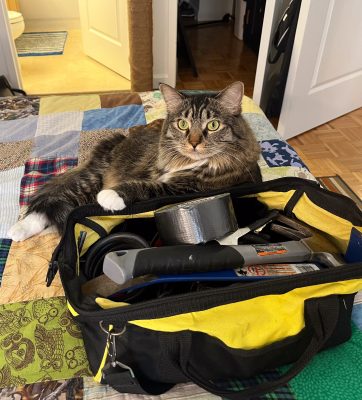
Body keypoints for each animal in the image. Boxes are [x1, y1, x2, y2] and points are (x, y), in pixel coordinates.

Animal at [7, 82, 260, 241]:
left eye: (213, 125)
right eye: (183, 124)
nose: (194, 143)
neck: (184, 161)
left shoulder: (182, 189)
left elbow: (146, 187)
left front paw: (111, 196)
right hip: (91, 180)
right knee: (54, 201)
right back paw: (17, 230)